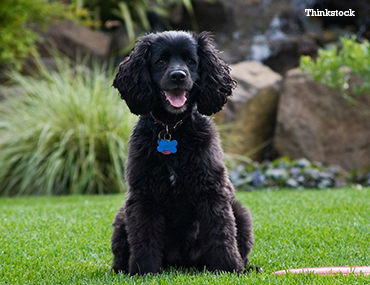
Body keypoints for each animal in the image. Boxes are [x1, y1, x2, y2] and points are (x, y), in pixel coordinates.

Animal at [111, 30, 253, 276]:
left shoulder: (212, 190)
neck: (172, 129)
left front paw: (227, 268)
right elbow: (144, 236)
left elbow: (221, 233)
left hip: (240, 212)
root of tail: (181, 263)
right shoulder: (143, 195)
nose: (178, 75)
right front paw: (143, 271)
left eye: (191, 61)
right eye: (160, 61)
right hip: (121, 218)